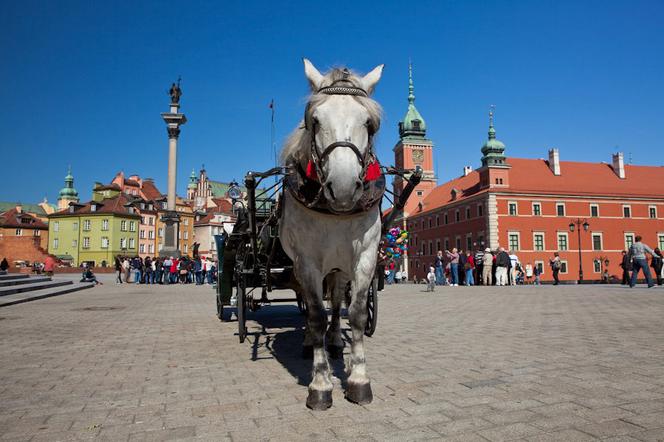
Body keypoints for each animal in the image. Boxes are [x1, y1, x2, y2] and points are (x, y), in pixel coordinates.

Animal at [278, 59, 384, 410]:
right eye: (314, 121)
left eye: (369, 123)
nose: (343, 187)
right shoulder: (307, 261)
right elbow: (314, 315)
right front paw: (321, 384)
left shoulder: (365, 256)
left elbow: (356, 314)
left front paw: (359, 379)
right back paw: (310, 342)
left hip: (338, 266)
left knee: (336, 301)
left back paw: (336, 342)